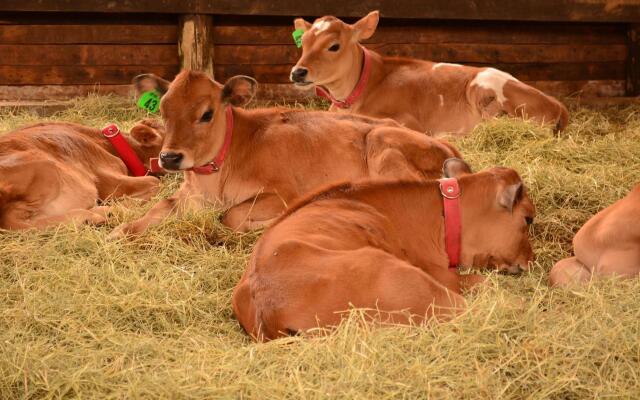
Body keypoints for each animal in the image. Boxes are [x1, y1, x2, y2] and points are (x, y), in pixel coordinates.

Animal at [109, 70, 460, 238]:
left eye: (206, 114)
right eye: (163, 109)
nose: (170, 158)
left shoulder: (282, 194)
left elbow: (230, 216)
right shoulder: (187, 196)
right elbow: (159, 207)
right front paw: (119, 232)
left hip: (382, 143)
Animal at [234, 159, 536, 340]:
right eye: (528, 218)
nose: (530, 261)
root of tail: (266, 304)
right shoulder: (443, 275)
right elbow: (480, 281)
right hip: (402, 279)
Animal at [292, 10, 568, 135]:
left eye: (333, 46)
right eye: (303, 42)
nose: (297, 72)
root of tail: (556, 103)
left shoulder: (408, 120)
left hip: (484, 87)